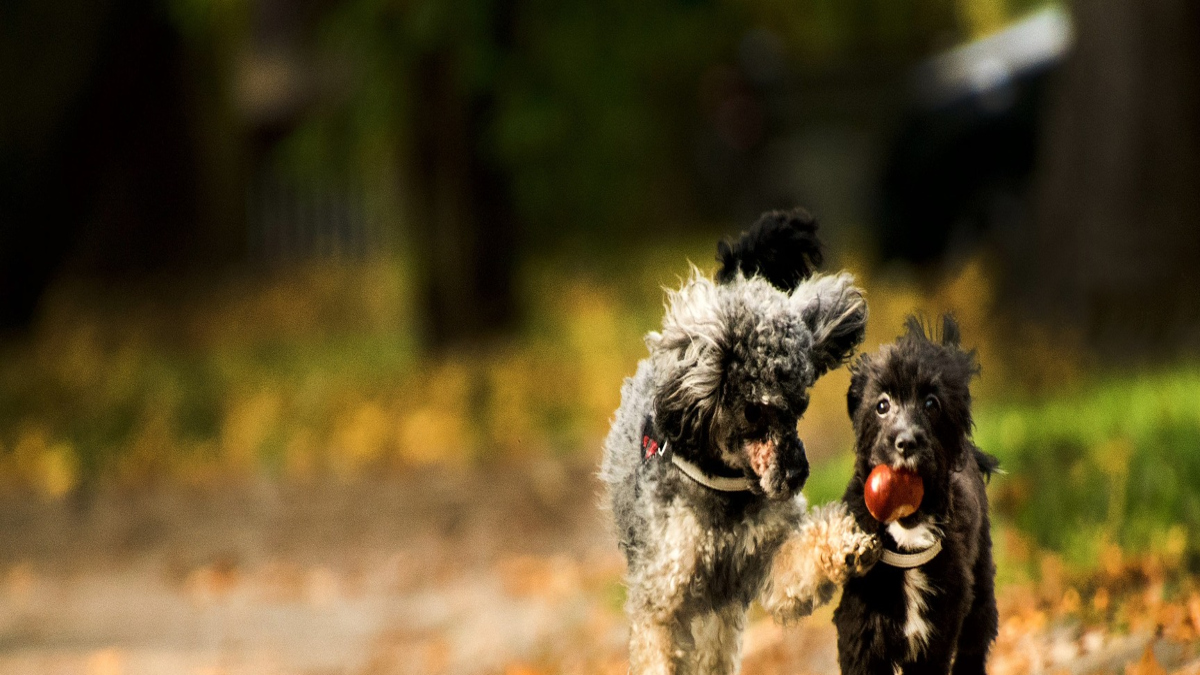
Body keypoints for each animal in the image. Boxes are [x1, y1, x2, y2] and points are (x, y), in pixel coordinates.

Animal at [830, 314, 998, 672]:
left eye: (931, 403)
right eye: (881, 405)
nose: (906, 442)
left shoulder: (934, 637)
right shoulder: (860, 633)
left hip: (979, 595)